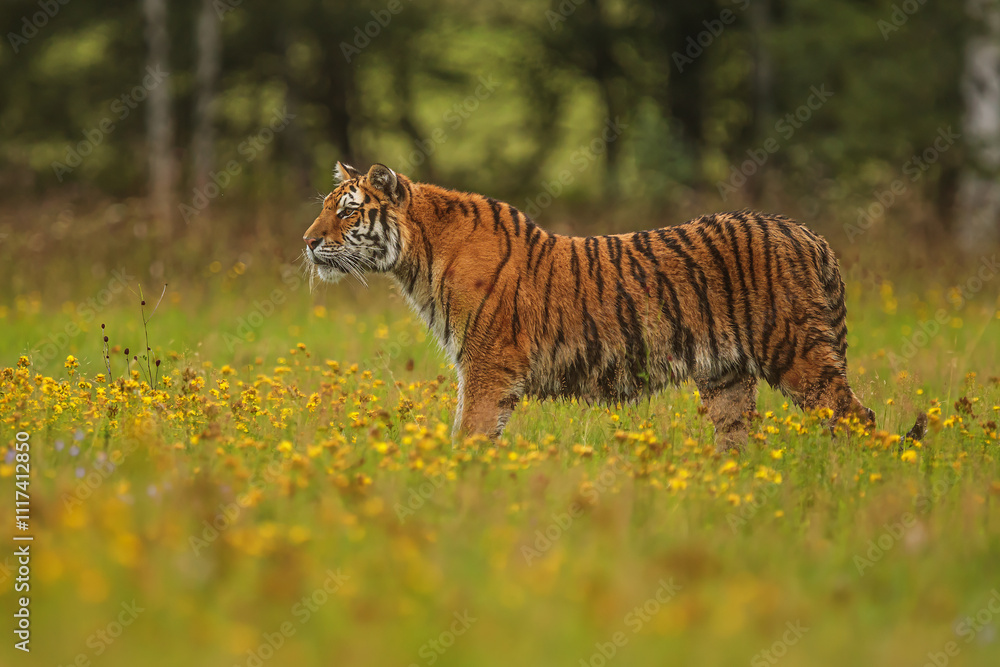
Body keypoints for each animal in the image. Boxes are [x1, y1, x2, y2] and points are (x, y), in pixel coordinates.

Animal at [303, 161, 926, 451]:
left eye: (348, 210)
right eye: (326, 206)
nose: (307, 242)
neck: (417, 259)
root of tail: (809, 234)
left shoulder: (485, 367)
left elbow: (469, 436)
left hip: (797, 353)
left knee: (857, 418)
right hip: (727, 377)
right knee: (740, 441)